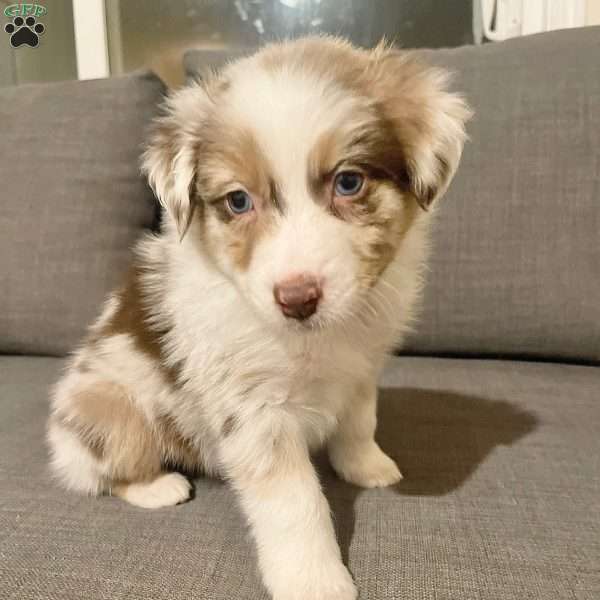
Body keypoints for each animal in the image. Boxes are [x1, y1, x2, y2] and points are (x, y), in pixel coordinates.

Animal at [48, 38, 468, 600]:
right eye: (238, 200)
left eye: (349, 182)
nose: (297, 298)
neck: (314, 339)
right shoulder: (255, 413)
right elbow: (296, 505)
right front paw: (315, 580)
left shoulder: (362, 367)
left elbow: (360, 422)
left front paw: (366, 466)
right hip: (112, 408)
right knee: (106, 471)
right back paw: (158, 486)